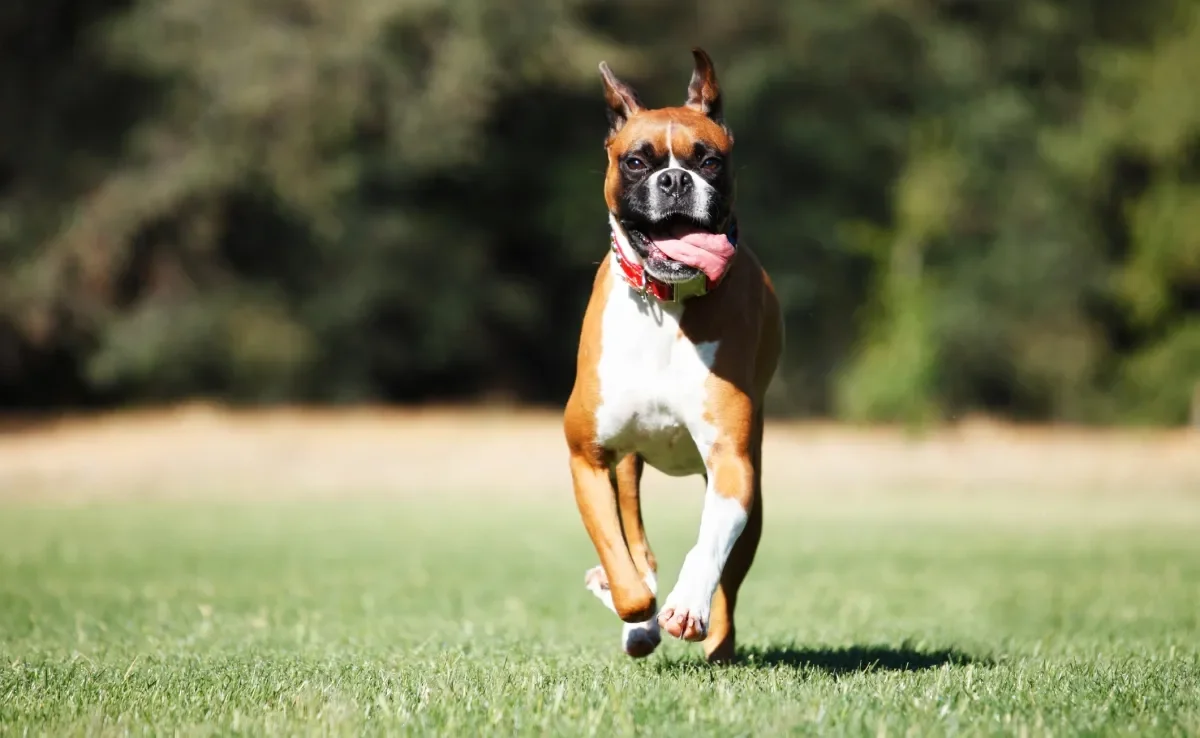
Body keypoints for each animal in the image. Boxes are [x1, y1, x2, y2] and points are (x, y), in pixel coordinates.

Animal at [564, 50, 787, 662]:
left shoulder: (732, 464)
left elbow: (708, 545)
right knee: (636, 541)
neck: (666, 304)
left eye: (708, 160)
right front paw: (631, 607)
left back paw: (716, 639)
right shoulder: (588, 458)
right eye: (637, 161)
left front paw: (686, 605)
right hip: (627, 468)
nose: (673, 179)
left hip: (751, 492)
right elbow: (627, 569)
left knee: (729, 580)